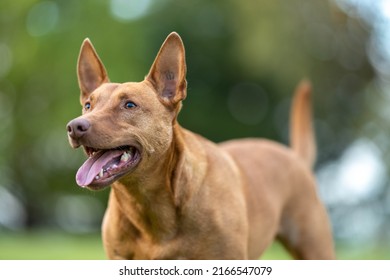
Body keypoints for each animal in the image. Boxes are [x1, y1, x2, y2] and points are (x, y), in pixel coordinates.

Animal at [67, 31, 336, 260]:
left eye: (129, 105)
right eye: (88, 105)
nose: (74, 126)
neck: (147, 203)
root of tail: (294, 156)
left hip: (317, 249)